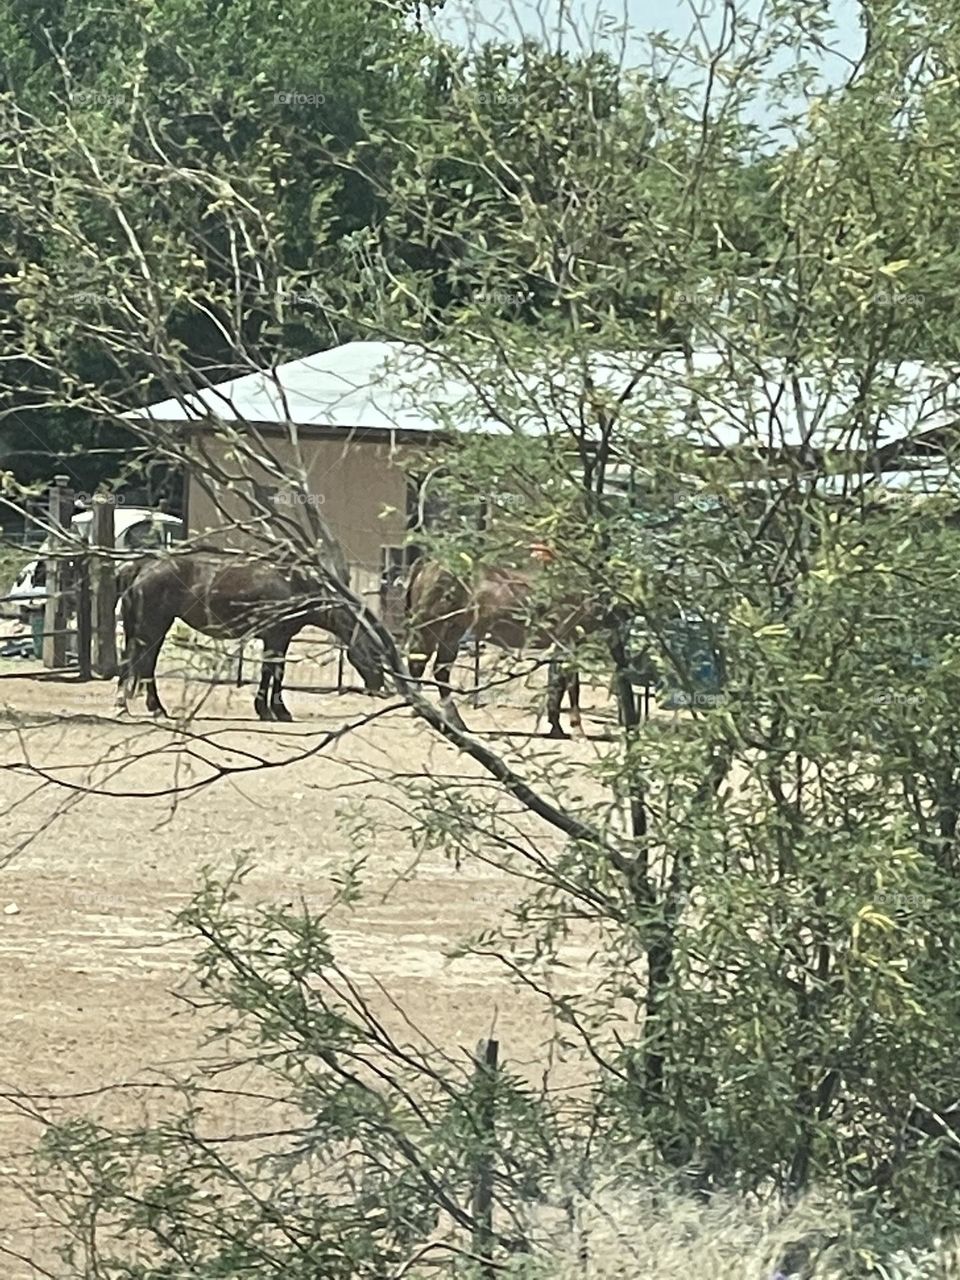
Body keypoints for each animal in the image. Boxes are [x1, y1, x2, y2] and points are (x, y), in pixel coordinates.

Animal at [115, 549, 384, 721]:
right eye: (375, 655)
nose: (378, 687)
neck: (294, 584)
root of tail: (143, 566)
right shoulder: (275, 638)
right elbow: (271, 672)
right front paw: (271, 711)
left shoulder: (280, 639)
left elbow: (275, 672)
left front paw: (274, 710)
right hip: (153, 625)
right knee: (142, 663)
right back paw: (148, 708)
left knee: (137, 663)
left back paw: (134, 707)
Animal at [404, 556, 616, 737]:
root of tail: (426, 566)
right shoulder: (569, 642)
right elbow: (572, 686)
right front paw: (577, 730)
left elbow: (557, 685)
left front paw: (556, 726)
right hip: (430, 628)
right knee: (418, 664)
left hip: (451, 633)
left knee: (440, 670)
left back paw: (454, 721)